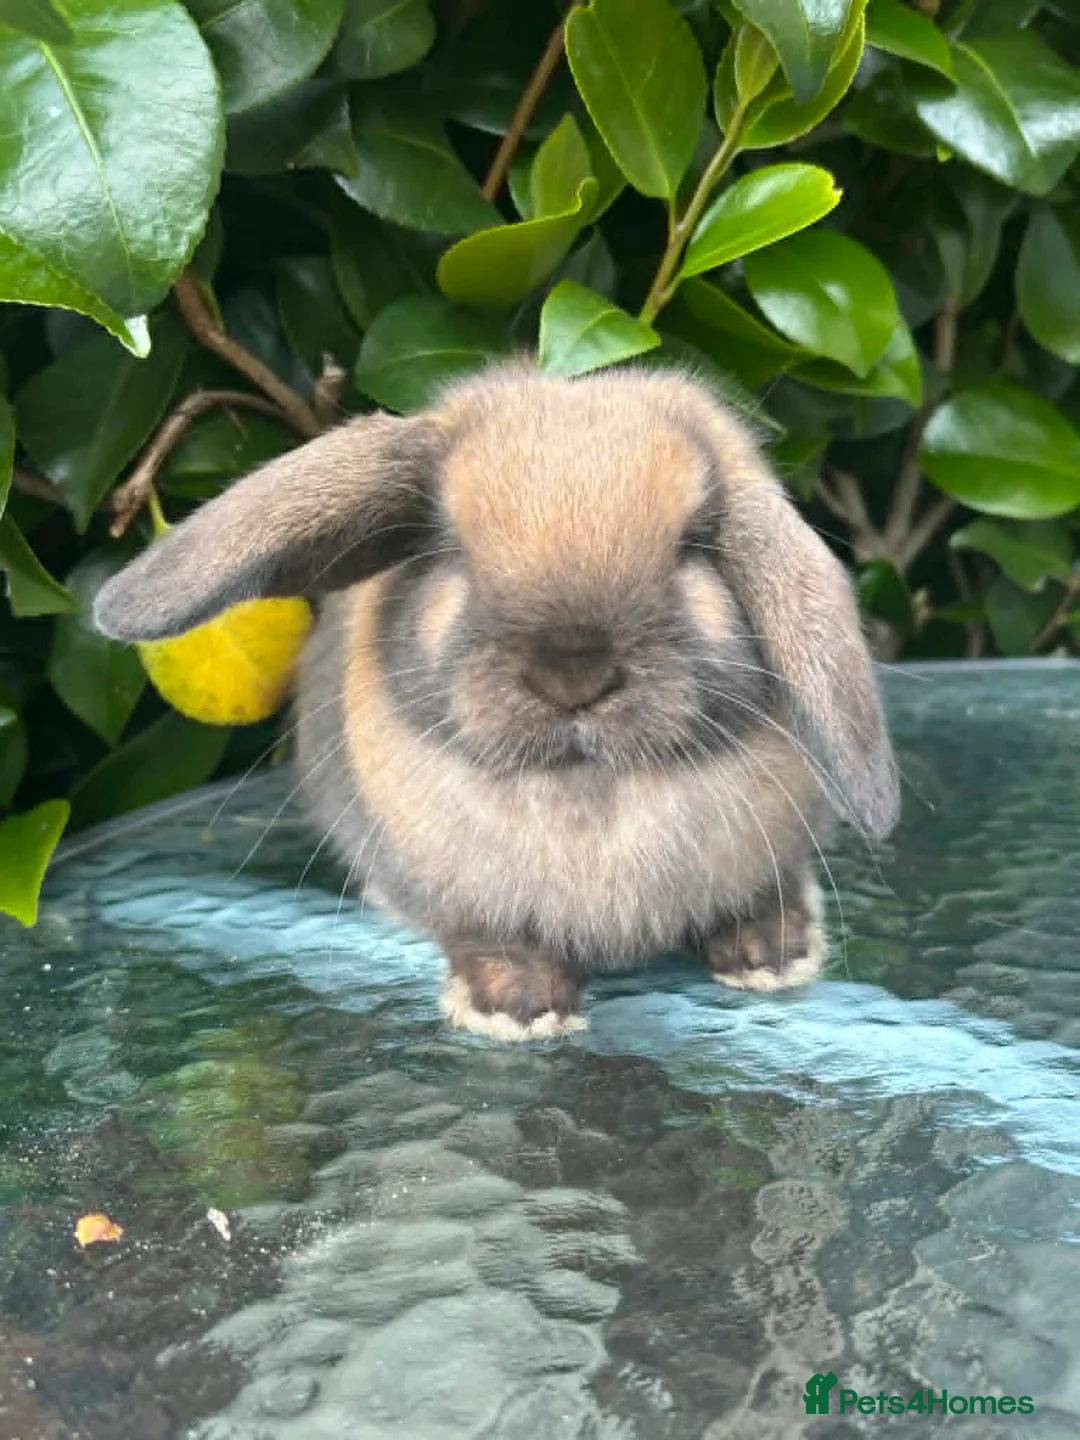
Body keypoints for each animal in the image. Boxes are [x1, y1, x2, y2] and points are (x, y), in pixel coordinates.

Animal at [94, 362, 899, 1041]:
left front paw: (772, 954)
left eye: (694, 548)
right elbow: (489, 937)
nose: (573, 673)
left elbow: (763, 895)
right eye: (452, 547)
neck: (587, 796)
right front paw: (518, 1007)